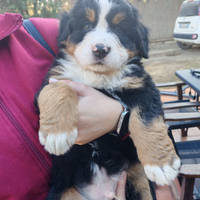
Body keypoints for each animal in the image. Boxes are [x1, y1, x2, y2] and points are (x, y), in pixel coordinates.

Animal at [35, 0, 180, 199]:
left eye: (119, 29)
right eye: (87, 26)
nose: (100, 49)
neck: (99, 76)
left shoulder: (142, 87)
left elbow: (146, 121)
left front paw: (161, 164)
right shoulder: (54, 78)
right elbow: (59, 88)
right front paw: (57, 135)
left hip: (139, 178)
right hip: (62, 190)